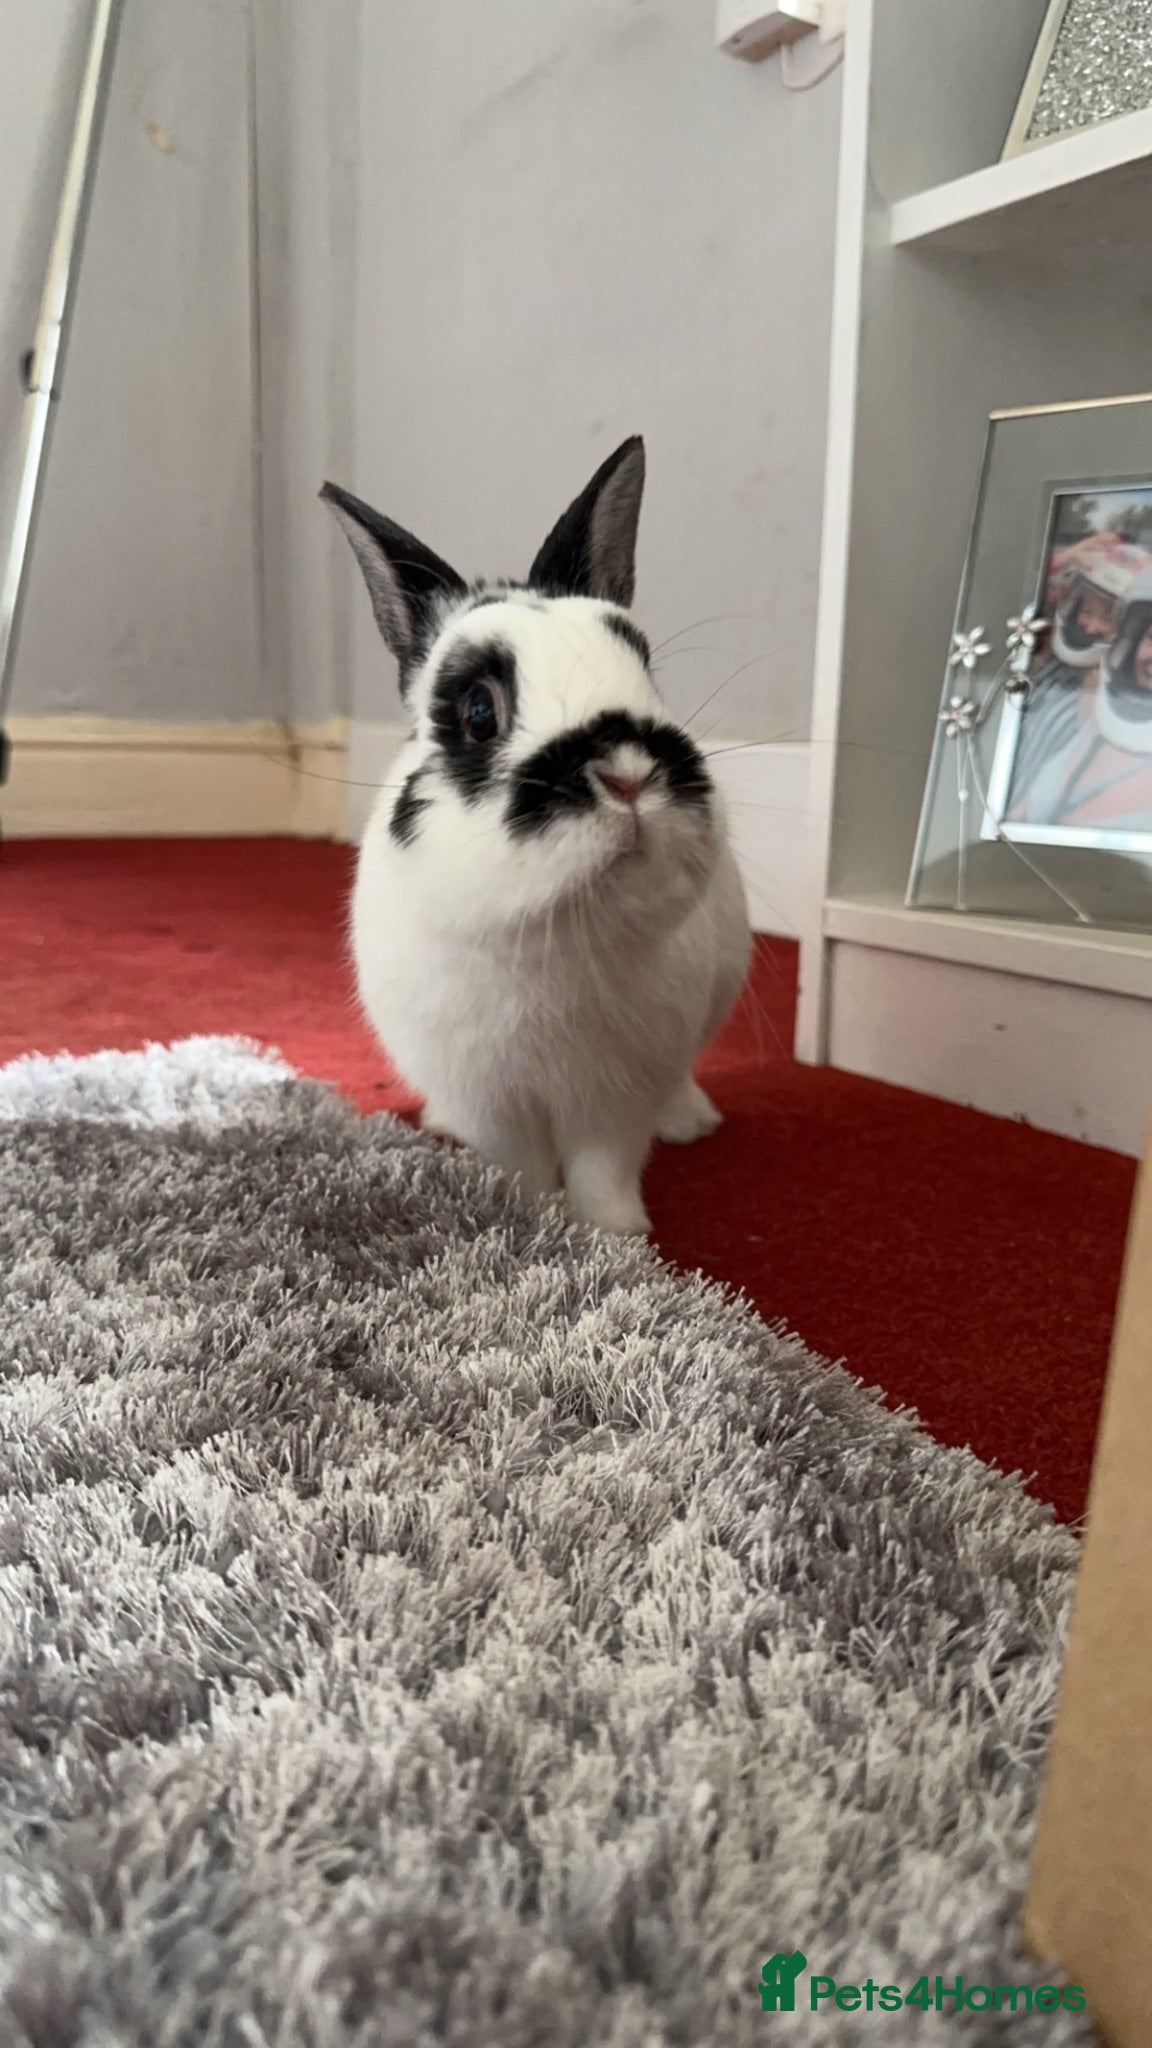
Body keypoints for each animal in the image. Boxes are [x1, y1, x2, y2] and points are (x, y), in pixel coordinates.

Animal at [321, 435, 751, 1235]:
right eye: (477, 711)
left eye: (647, 670)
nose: (627, 773)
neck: (555, 926)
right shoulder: (491, 1097)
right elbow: (519, 1164)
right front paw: (532, 1220)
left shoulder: (616, 1096)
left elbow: (604, 1169)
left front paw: (617, 1236)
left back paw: (691, 1121)